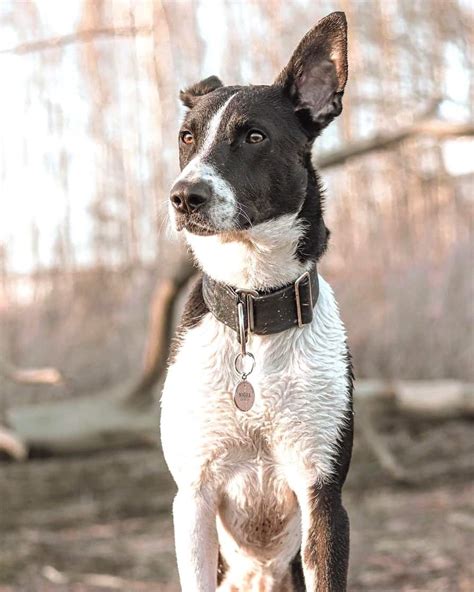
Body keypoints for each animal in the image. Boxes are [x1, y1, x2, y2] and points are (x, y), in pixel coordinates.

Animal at [161, 10, 354, 592]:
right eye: (187, 137)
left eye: (253, 136)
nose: (184, 196)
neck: (253, 304)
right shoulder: (193, 498)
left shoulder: (323, 494)